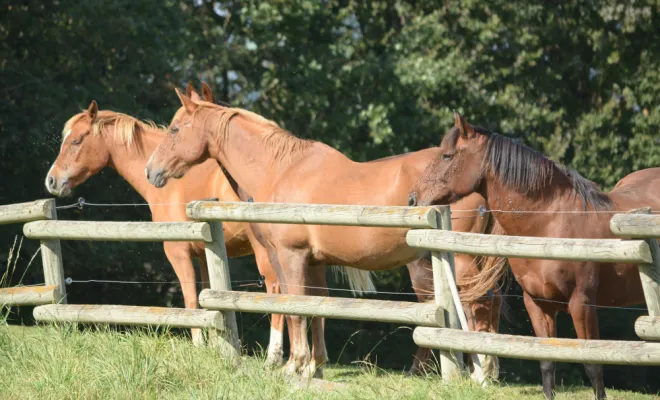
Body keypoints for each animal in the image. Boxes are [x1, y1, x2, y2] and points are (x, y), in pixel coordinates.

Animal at [143, 88, 504, 379]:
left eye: (174, 129)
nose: (151, 170)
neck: (281, 169)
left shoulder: (289, 257)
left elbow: (296, 304)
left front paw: (295, 365)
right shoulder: (314, 262)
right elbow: (316, 306)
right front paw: (313, 366)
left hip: (460, 260)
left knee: (477, 305)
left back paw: (479, 374)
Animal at [408, 112, 660, 399]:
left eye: (447, 156)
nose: (413, 198)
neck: (551, 225)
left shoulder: (582, 304)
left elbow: (593, 367)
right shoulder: (538, 304)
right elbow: (547, 362)